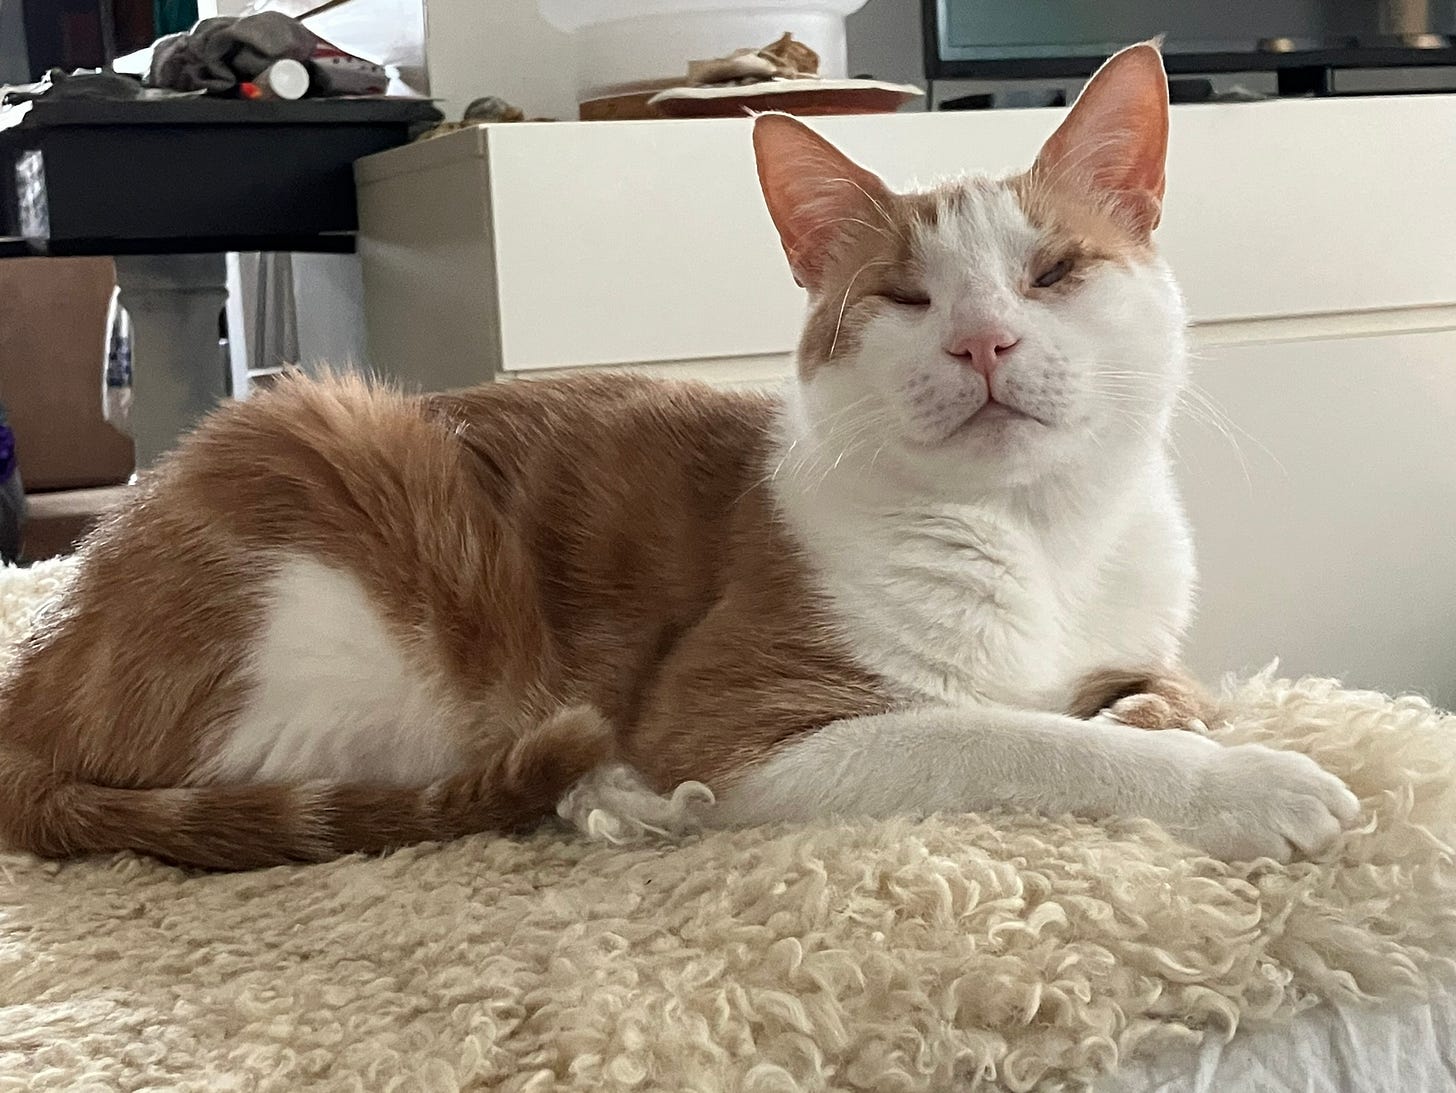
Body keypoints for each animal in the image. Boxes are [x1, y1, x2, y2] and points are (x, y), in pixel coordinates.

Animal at [0, 44, 1351, 873]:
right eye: (903, 297)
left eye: (1054, 270)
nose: (982, 338)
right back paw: (612, 794)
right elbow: (1021, 738)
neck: (1040, 537)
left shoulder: (1137, 635)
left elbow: (1166, 691)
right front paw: (1248, 783)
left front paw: (1171, 716)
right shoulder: (749, 720)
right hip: (345, 577)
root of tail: (43, 667)